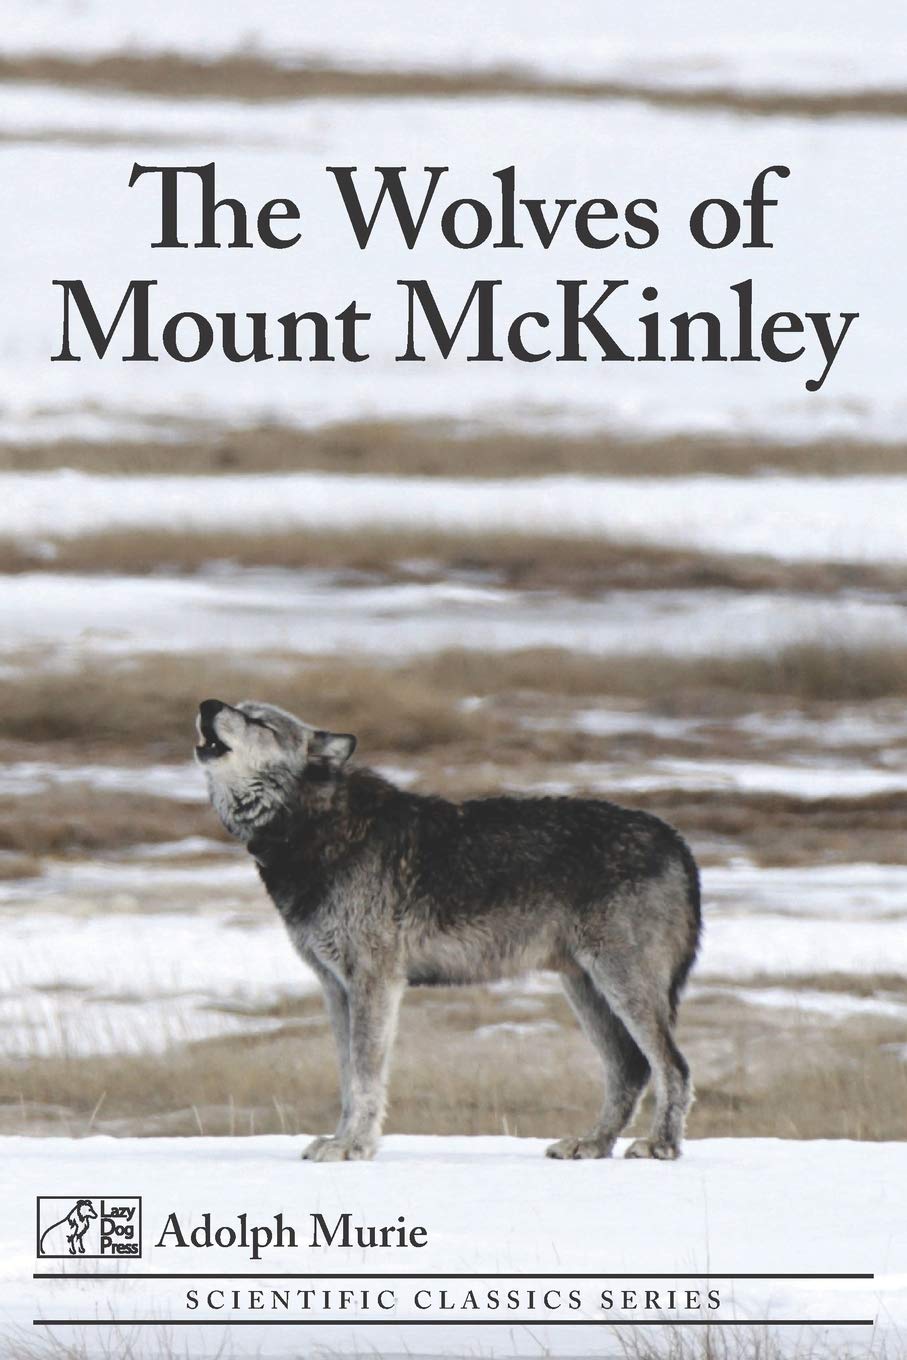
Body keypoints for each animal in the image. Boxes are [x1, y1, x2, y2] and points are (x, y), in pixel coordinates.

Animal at [196, 698, 701, 1164]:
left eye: (259, 720)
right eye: (238, 706)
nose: (207, 705)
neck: (314, 827)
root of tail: (676, 839)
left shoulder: (374, 982)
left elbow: (364, 1077)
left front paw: (353, 1147)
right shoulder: (335, 988)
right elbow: (346, 1077)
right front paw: (340, 1141)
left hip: (621, 986)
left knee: (672, 1066)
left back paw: (660, 1145)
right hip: (585, 989)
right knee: (630, 1069)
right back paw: (591, 1144)